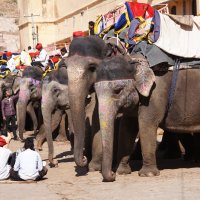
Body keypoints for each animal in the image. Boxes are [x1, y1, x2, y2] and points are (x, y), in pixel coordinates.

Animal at [94, 54, 200, 182]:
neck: (133, 59)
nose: (112, 174)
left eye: (118, 91)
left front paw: (147, 174)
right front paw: (122, 172)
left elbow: (146, 124)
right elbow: (127, 128)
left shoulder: (154, 94)